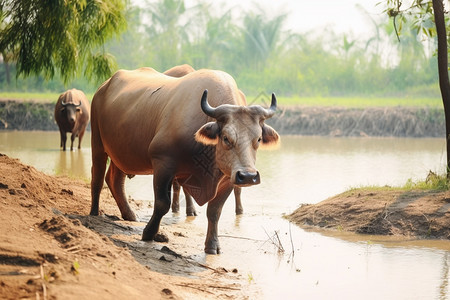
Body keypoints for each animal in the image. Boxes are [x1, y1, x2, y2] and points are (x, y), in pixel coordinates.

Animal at [89, 67, 280, 253]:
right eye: (226, 138)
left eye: (258, 139)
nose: (248, 176)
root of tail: (103, 87)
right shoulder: (163, 163)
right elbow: (162, 203)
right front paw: (149, 233)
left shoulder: (228, 177)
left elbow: (214, 211)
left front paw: (212, 245)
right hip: (97, 142)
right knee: (97, 177)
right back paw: (94, 212)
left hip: (121, 153)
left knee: (114, 179)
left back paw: (128, 214)